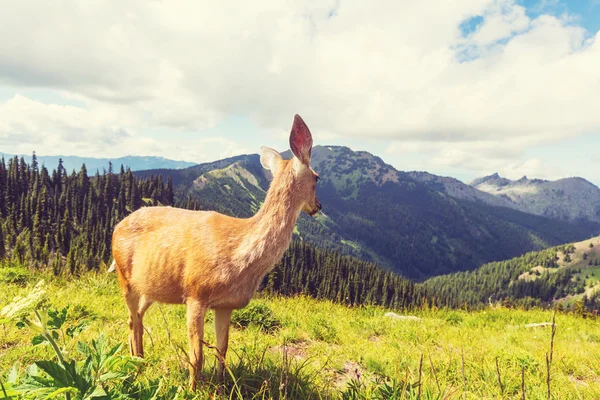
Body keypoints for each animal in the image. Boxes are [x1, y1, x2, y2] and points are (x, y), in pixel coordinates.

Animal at [109, 114, 322, 390]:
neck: (238, 257)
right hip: (124, 278)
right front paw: (192, 389)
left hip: (149, 286)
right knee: (131, 318)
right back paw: (135, 365)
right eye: (317, 177)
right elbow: (196, 354)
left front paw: (222, 386)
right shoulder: (195, 293)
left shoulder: (226, 305)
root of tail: (117, 227)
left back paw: (140, 359)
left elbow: (222, 350)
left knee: (137, 318)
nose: (318, 206)